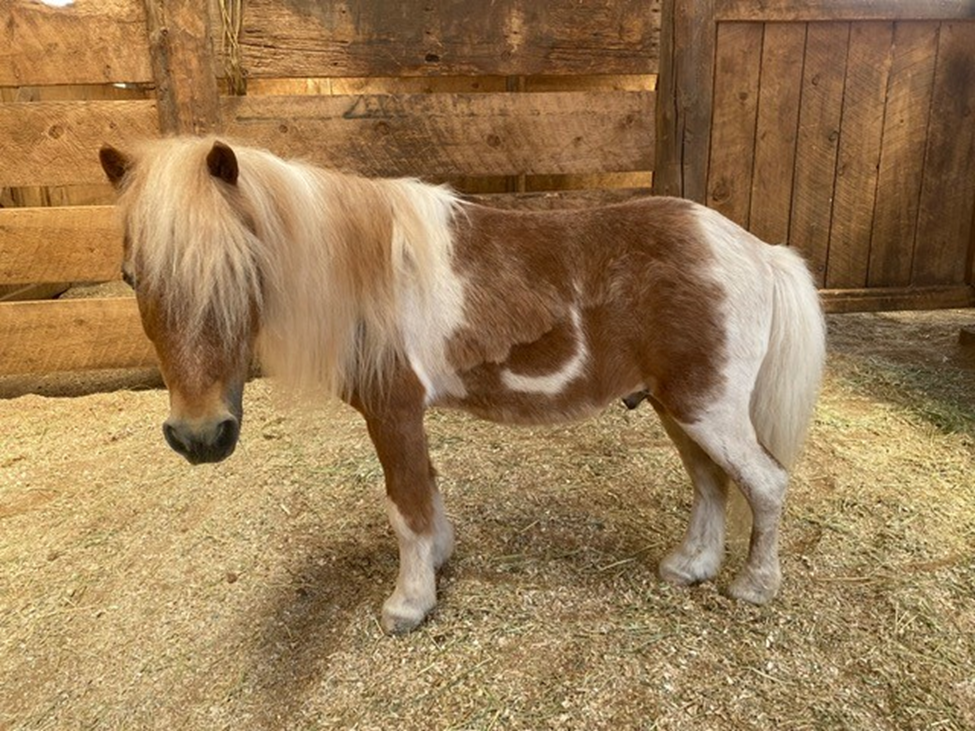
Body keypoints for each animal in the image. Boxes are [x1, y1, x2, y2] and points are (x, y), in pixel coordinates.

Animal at [98, 136, 826, 634]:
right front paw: (437, 563)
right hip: (681, 407)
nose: (199, 436)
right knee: (710, 482)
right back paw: (690, 567)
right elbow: (425, 492)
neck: (365, 268)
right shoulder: (405, 417)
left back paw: (754, 586)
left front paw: (408, 602)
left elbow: (406, 505)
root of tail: (757, 250)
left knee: (764, 483)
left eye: (238, 270)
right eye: (132, 276)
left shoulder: (392, 411)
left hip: (705, 408)